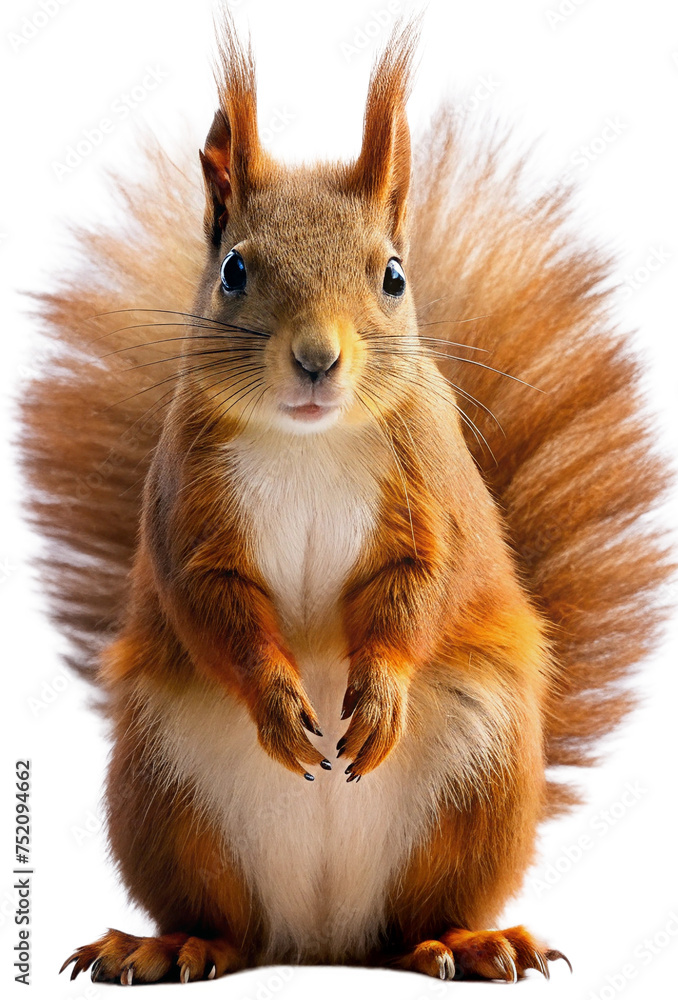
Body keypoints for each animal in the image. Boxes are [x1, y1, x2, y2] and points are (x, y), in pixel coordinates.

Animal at [19, 11, 671, 987]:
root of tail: (322, 935)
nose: (318, 359)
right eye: (234, 270)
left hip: (478, 787)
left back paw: (471, 943)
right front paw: (276, 698)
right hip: (164, 798)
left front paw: (382, 689)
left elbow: (425, 586)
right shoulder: (185, 506)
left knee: (416, 921)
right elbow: (210, 603)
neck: (310, 444)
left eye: (394, 275)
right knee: (228, 920)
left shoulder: (432, 488)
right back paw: (172, 944)